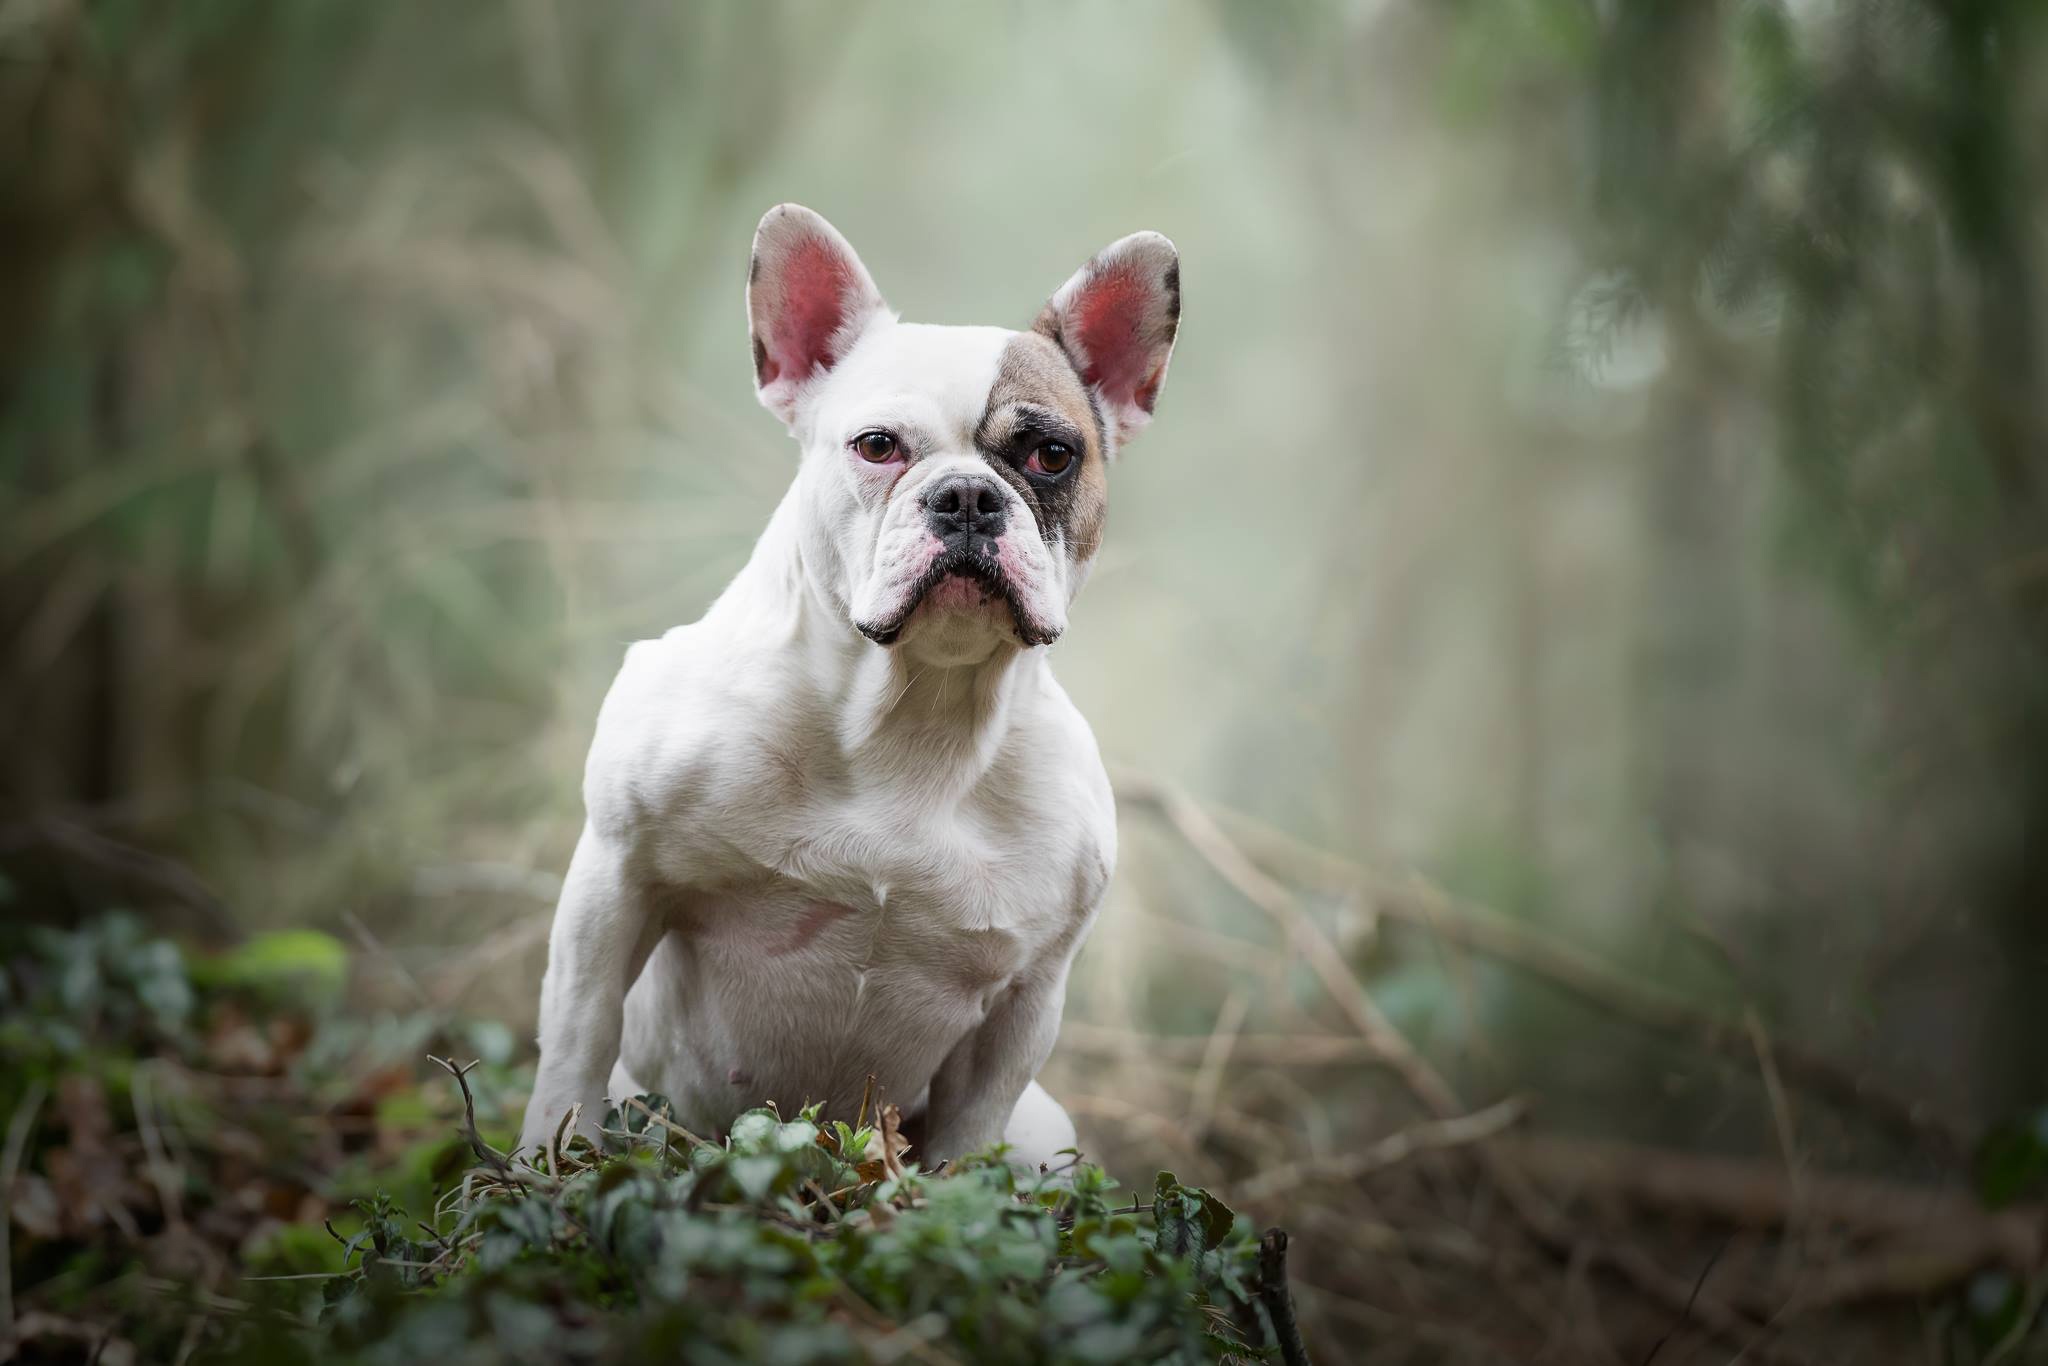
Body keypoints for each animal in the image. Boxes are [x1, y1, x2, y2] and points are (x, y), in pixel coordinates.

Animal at [516, 205, 1187, 1179]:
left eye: (1052, 454)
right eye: (878, 446)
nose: (966, 497)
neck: (917, 705)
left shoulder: (1028, 996)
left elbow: (969, 1140)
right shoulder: (617, 875)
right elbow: (576, 1041)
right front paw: (544, 1169)